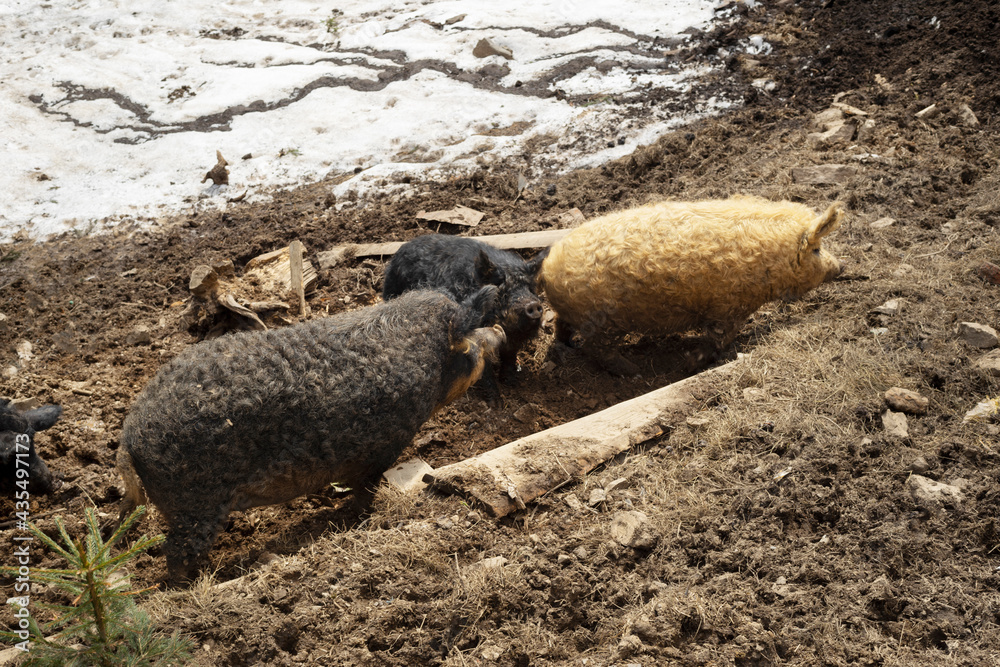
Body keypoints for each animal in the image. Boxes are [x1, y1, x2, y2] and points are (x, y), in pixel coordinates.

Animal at [116, 288, 505, 581]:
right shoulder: (378, 449)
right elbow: (365, 491)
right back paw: (199, 583)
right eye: (470, 341)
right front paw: (361, 520)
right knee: (175, 552)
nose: (499, 330)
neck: (428, 370)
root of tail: (129, 436)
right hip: (194, 502)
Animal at [382, 234, 548, 399]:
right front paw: (496, 399)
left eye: (529, 288)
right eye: (501, 290)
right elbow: (485, 369)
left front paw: (511, 382)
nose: (533, 304)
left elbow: (510, 355)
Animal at [540, 196, 844, 374]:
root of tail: (548, 269)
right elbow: (719, 338)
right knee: (596, 350)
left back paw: (567, 346)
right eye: (817, 250)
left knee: (561, 327)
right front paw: (689, 363)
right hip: (602, 323)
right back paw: (633, 371)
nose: (842, 267)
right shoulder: (728, 308)